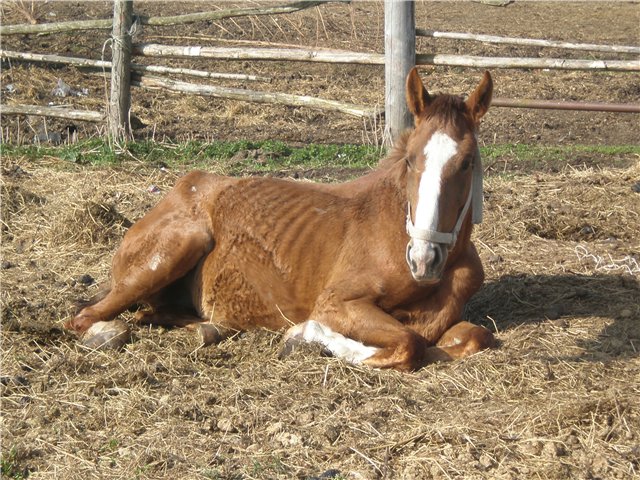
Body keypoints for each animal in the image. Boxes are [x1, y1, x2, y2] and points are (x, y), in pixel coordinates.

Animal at [65, 67, 496, 372]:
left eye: (467, 162)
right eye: (409, 159)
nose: (423, 259)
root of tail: (179, 189)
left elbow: (473, 337)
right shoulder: (337, 303)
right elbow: (409, 344)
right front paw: (303, 335)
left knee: (152, 313)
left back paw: (208, 328)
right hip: (178, 246)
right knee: (86, 317)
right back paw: (107, 333)